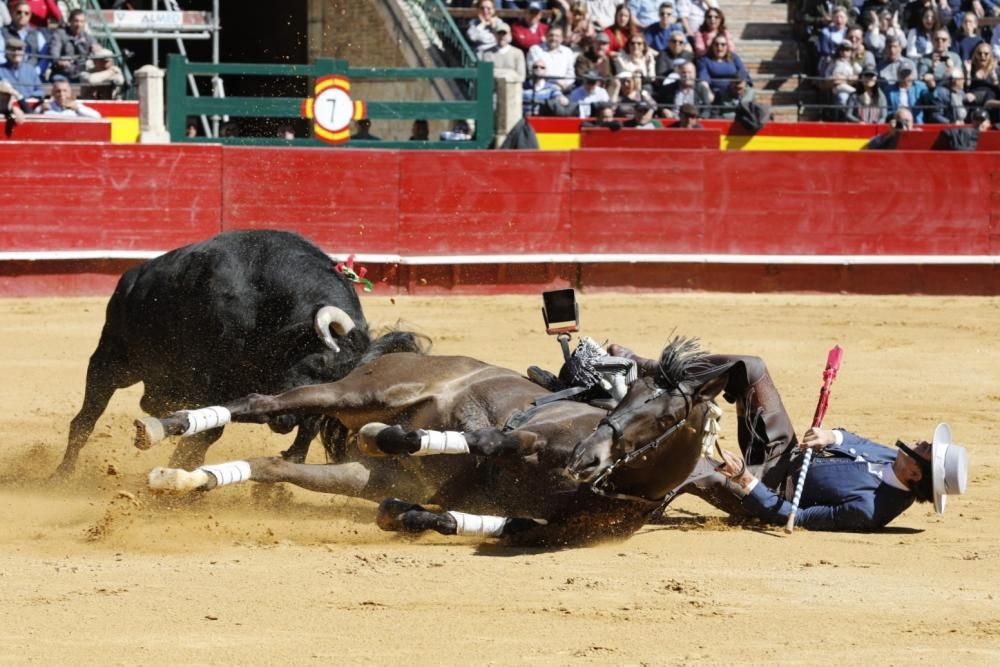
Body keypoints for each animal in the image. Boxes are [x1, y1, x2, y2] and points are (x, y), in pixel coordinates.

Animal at [56, 232, 416, 478]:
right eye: (319, 363)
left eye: (345, 379)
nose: (284, 422)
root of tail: (132, 277)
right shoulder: (209, 377)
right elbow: (209, 428)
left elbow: (306, 432)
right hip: (113, 361)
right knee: (85, 419)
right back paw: (62, 474)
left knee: (150, 401)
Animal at [135, 340, 728, 548]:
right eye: (631, 398)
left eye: (666, 414)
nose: (588, 459)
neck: (615, 484)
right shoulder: (526, 436)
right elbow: (484, 440)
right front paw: (391, 438)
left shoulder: (535, 529)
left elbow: (448, 516)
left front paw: (402, 515)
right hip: (360, 391)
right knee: (262, 402)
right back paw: (166, 428)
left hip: (358, 475)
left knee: (270, 465)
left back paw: (182, 479)